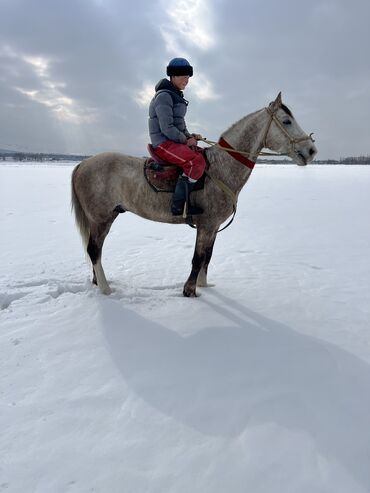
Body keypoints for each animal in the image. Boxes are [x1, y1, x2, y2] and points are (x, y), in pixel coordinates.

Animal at [71, 94, 316, 298]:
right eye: (286, 121)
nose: (312, 150)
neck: (222, 168)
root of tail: (84, 163)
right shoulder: (206, 225)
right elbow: (197, 258)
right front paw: (190, 291)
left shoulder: (213, 227)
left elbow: (207, 256)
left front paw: (204, 286)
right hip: (101, 218)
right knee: (94, 250)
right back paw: (105, 289)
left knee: (95, 250)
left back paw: (98, 282)